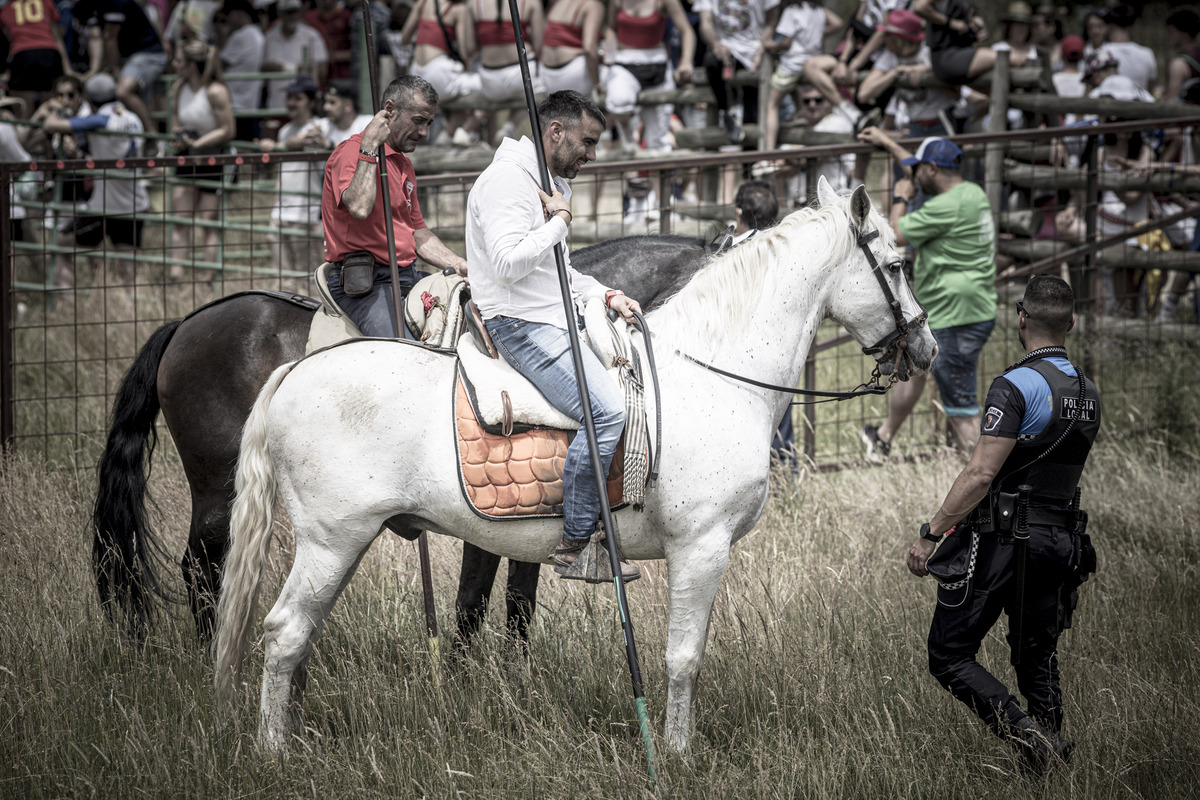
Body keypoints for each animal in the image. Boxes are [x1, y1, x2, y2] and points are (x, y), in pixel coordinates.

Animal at [213, 178, 936, 753]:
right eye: (898, 265)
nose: (925, 346)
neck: (711, 373)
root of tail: (298, 370)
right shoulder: (701, 548)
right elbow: (683, 658)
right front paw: (677, 754)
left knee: (300, 638)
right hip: (332, 541)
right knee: (284, 634)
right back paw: (276, 751)